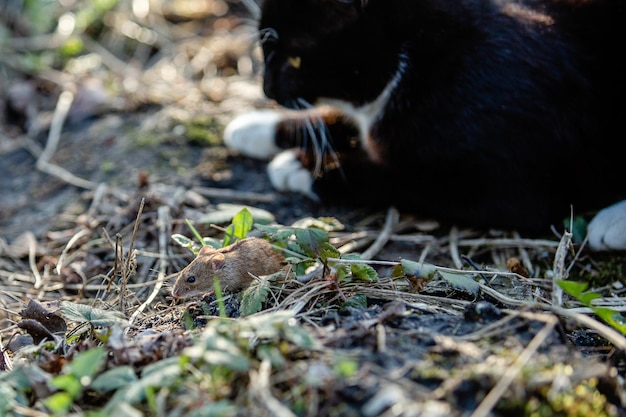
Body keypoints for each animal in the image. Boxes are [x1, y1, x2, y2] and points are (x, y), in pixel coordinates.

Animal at [224, 0, 624, 249]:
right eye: (263, 49)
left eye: (295, 59)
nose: (266, 89)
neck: (420, 53)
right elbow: (343, 120)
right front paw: (256, 127)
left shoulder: (509, 186)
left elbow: (396, 178)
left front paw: (301, 166)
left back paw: (613, 223)